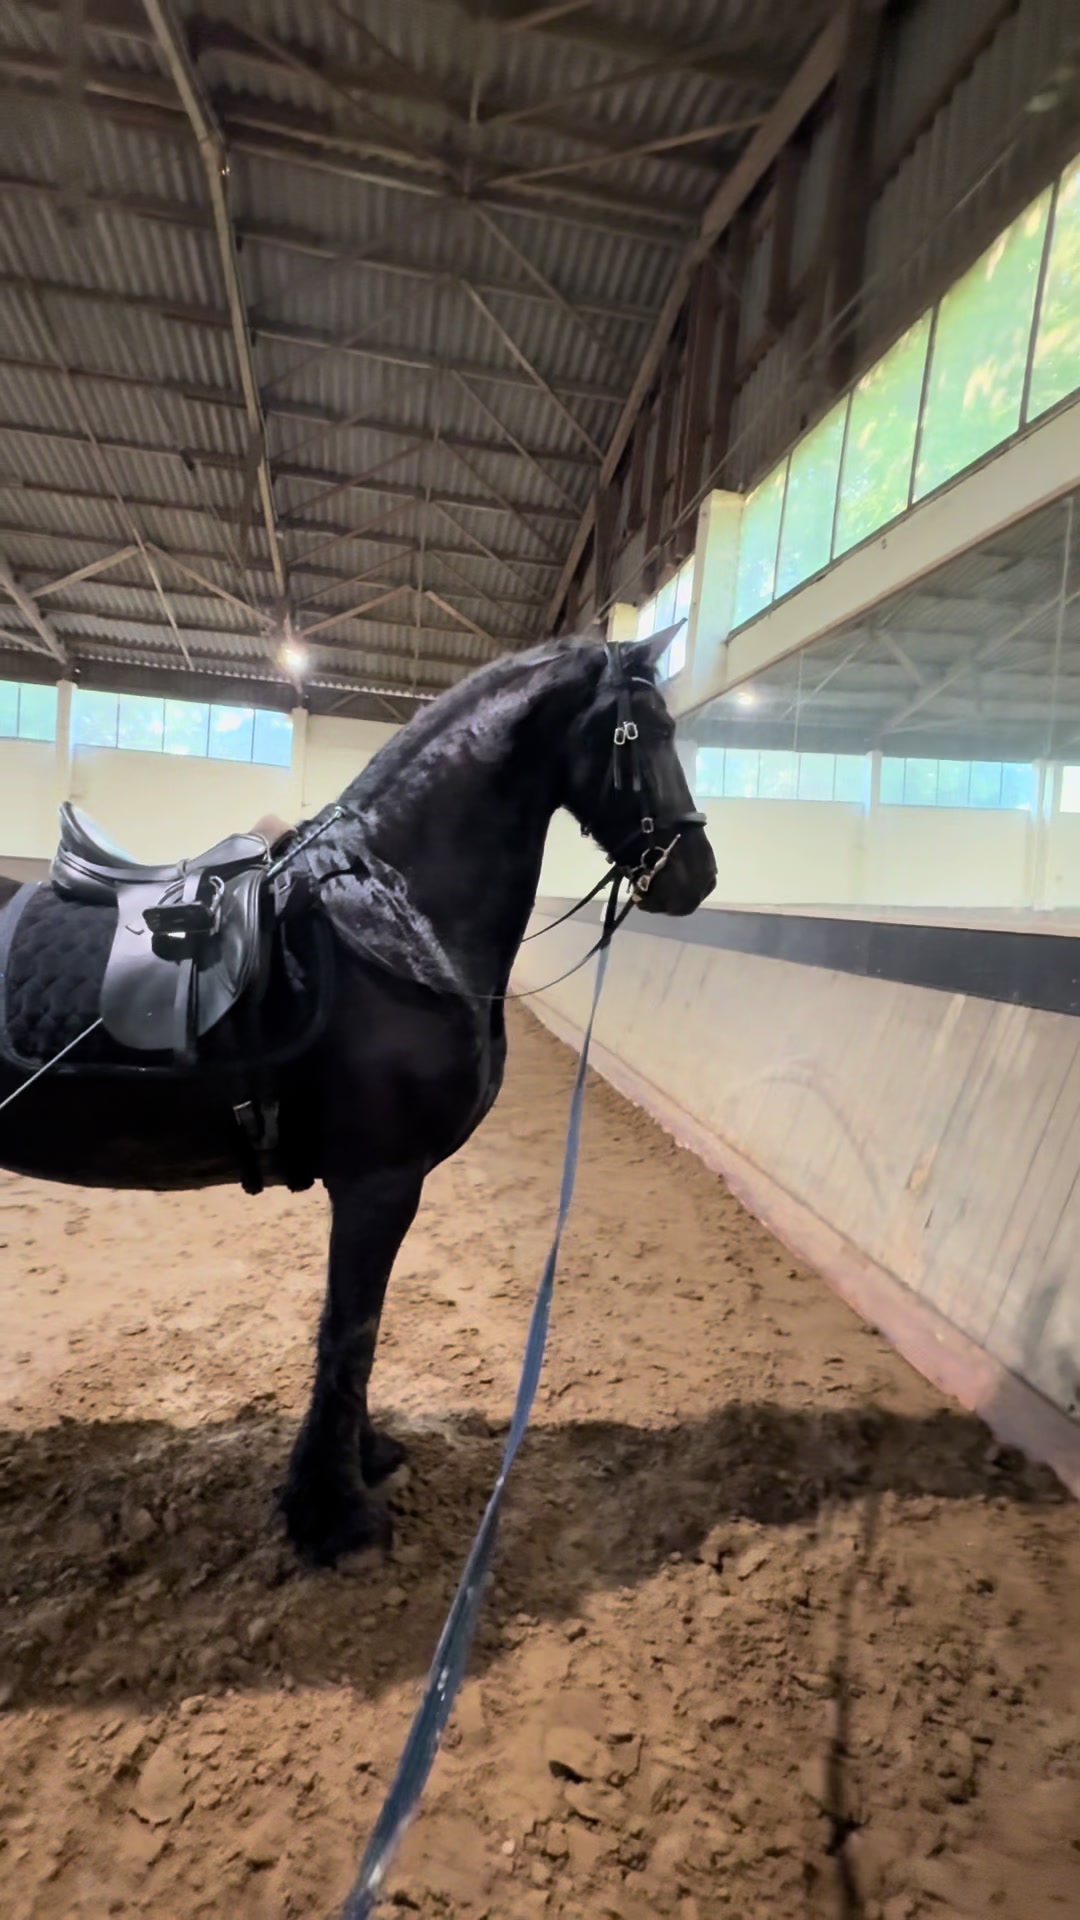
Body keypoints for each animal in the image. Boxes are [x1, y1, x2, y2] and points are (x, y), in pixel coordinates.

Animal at [0, 635, 716, 1563]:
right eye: (652, 730)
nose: (696, 877)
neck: (393, 920)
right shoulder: (380, 1183)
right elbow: (351, 1331)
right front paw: (334, 1515)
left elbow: (357, 1333)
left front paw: (359, 1464)